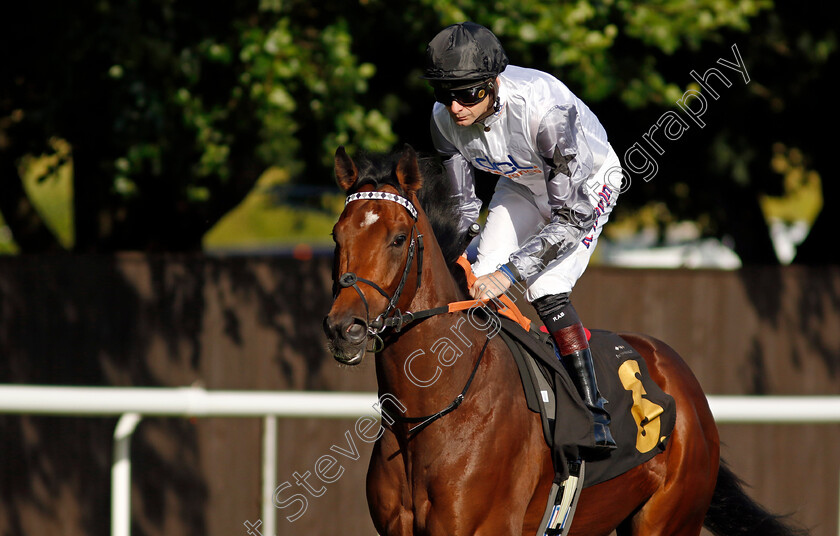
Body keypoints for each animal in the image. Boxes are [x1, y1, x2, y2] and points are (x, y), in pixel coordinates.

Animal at [324, 143, 808, 536]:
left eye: (398, 238)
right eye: (336, 235)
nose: (344, 327)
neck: (425, 417)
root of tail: (683, 380)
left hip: (671, 519)